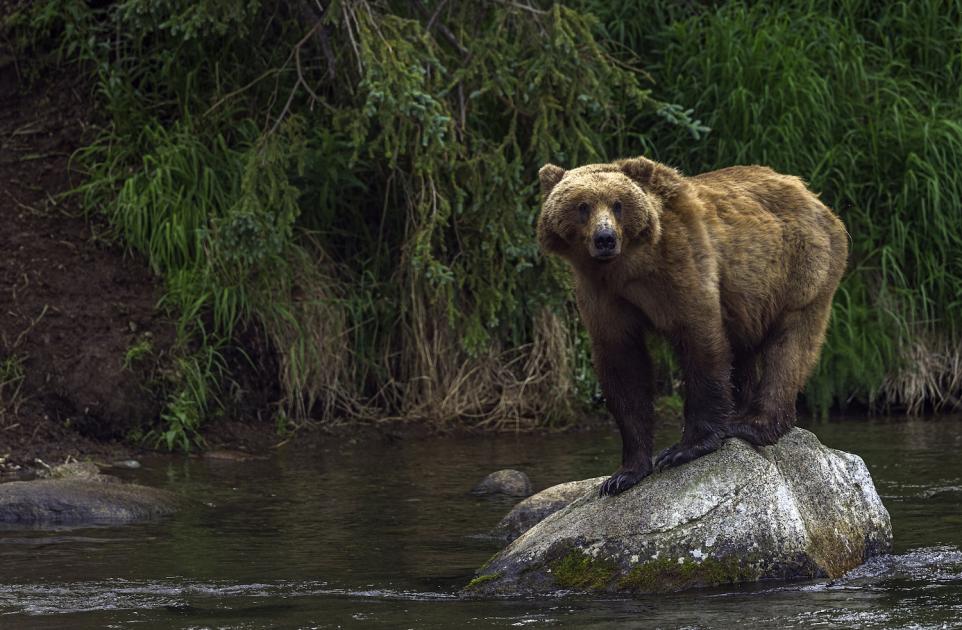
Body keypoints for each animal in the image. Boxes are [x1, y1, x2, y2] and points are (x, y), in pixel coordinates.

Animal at [536, 156, 844, 496]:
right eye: (583, 206)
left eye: (618, 204)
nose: (605, 239)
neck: (628, 267)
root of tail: (812, 196)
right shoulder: (601, 295)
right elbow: (623, 366)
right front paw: (623, 474)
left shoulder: (681, 264)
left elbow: (700, 340)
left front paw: (684, 448)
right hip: (755, 299)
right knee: (748, 352)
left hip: (802, 269)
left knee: (790, 346)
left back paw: (753, 423)